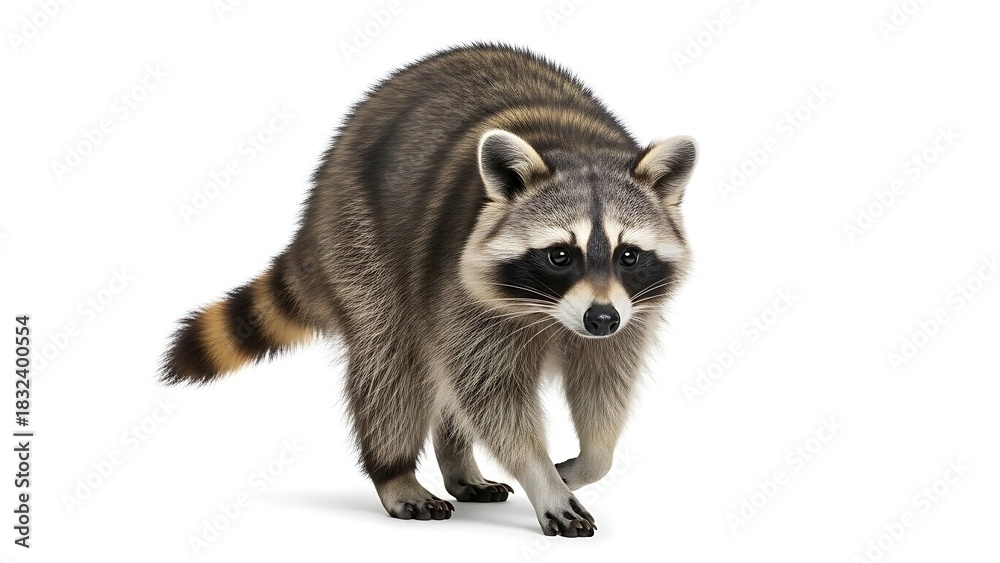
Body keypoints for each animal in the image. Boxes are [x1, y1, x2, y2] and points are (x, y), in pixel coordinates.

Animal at [161, 43, 697, 537]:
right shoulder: (458, 282)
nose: (600, 319)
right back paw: (394, 471)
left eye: (628, 255)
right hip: (361, 239)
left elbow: (604, 382)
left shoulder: (630, 312)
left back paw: (459, 463)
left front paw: (586, 462)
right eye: (560, 255)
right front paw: (541, 475)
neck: (575, 145)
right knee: (392, 363)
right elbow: (492, 393)